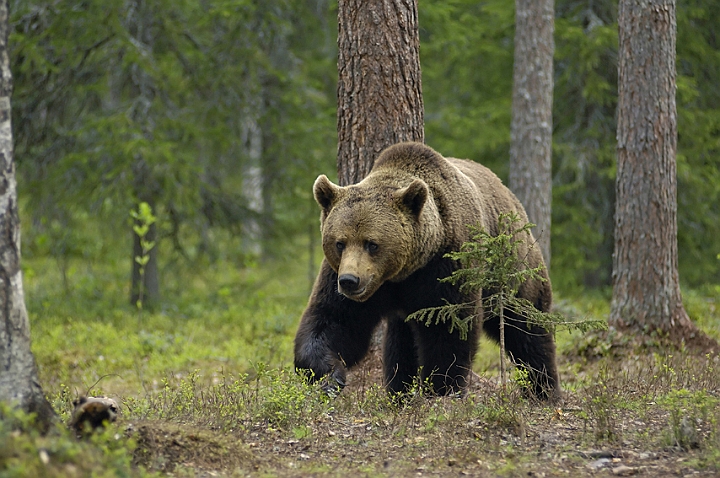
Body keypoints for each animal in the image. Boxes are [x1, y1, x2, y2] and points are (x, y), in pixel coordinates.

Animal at [296, 141, 560, 400]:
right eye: (340, 243)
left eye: (372, 244)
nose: (350, 281)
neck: (403, 272)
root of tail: (512, 199)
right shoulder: (347, 277)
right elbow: (334, 320)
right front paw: (330, 377)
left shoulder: (445, 267)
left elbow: (448, 330)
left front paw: (441, 389)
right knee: (400, 342)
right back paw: (399, 391)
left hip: (515, 274)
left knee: (528, 329)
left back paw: (543, 389)